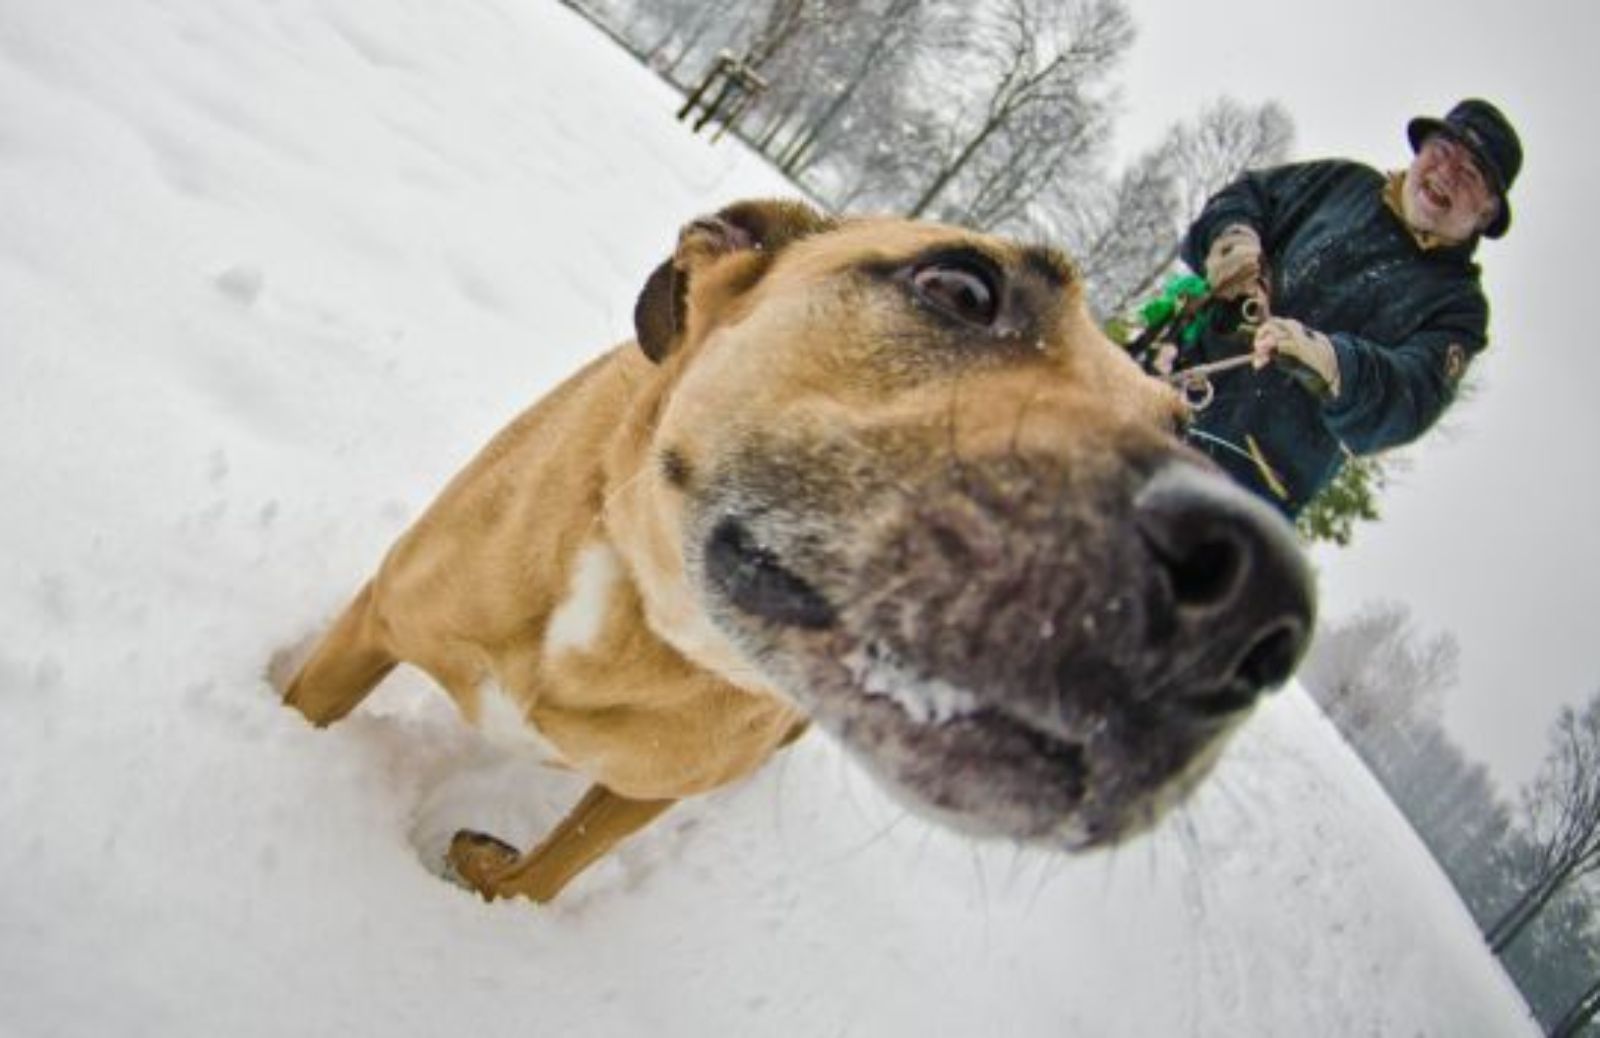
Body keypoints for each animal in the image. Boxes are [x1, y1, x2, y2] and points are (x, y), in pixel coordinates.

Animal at [284, 198, 1312, 902]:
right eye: (961, 287)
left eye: (1186, 428)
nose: (1262, 603)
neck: (636, 614)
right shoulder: (380, 621)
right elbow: (307, 709)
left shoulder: (641, 795)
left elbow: (545, 875)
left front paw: (489, 880)